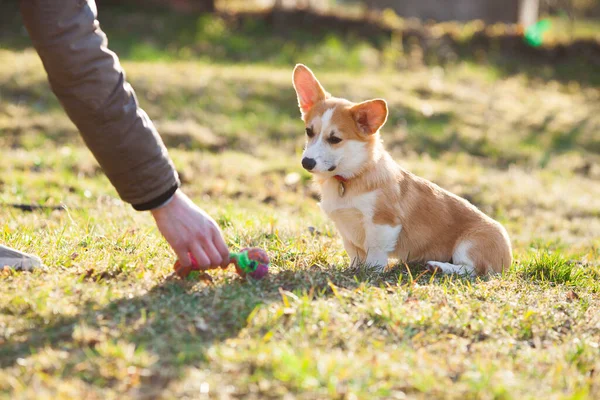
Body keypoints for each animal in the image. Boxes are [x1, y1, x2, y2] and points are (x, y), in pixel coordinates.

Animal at [290, 65, 510, 276]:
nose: (306, 162)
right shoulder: (346, 230)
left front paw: (371, 272)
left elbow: (375, 251)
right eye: (309, 131)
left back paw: (439, 267)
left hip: (470, 244)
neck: (350, 177)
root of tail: (508, 258)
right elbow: (354, 253)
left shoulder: (382, 223)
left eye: (335, 139)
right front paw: (353, 269)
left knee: (473, 270)